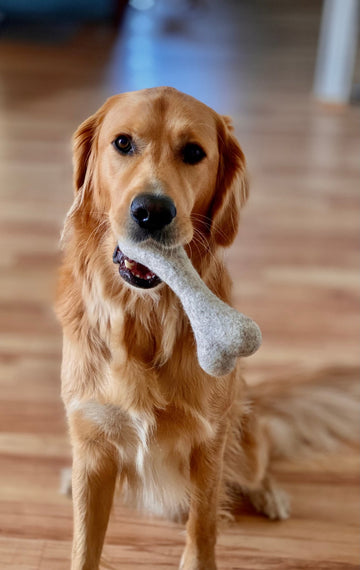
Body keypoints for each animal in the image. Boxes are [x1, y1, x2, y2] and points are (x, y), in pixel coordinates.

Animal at [55, 86, 358, 564]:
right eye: (122, 143)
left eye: (194, 153)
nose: (152, 211)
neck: (145, 318)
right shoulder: (93, 440)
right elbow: (85, 545)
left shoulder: (208, 442)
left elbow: (203, 527)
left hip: (243, 440)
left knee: (259, 459)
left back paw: (270, 494)